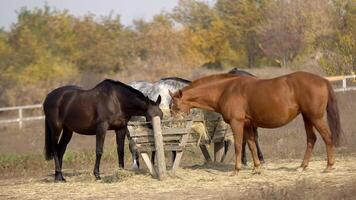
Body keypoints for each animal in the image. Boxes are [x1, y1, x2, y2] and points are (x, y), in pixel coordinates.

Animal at [170, 72, 342, 175]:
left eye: (175, 106)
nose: (173, 123)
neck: (226, 90)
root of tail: (323, 80)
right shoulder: (247, 124)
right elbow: (252, 144)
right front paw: (256, 168)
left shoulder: (237, 123)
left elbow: (239, 145)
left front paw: (236, 170)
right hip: (307, 117)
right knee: (311, 139)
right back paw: (302, 166)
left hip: (315, 117)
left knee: (327, 137)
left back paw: (329, 166)